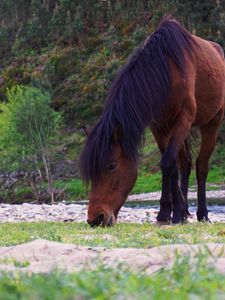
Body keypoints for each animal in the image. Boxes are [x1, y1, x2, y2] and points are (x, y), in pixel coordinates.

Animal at [79, 16, 225, 226]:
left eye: (111, 165)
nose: (96, 218)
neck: (166, 71)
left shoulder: (183, 118)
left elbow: (168, 162)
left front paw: (174, 213)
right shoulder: (159, 126)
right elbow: (170, 165)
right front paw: (168, 213)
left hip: (211, 124)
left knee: (201, 166)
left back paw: (202, 214)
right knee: (185, 163)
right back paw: (186, 211)